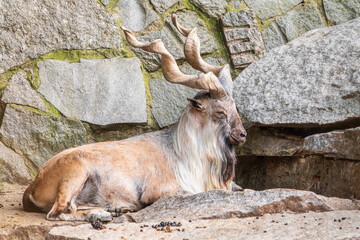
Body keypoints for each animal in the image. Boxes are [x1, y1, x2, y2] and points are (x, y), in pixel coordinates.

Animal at [22, 14, 246, 221]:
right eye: (220, 111)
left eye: (234, 106)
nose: (242, 135)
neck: (181, 151)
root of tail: (33, 186)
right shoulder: (164, 189)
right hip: (75, 173)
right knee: (60, 212)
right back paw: (106, 213)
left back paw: (118, 208)